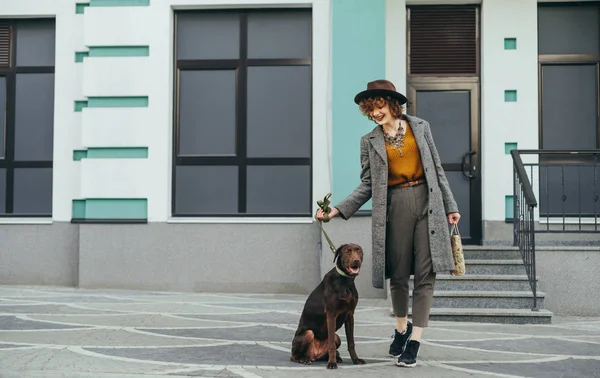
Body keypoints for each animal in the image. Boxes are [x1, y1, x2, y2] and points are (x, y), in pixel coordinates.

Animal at [290, 242, 366, 370]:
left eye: (359, 251)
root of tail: (314, 355)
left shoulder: (350, 315)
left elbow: (351, 342)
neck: (345, 281)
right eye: (347, 251)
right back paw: (304, 359)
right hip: (308, 333)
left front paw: (356, 359)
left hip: (337, 337)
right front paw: (332, 363)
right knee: (293, 356)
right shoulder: (331, 314)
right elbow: (331, 345)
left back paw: (335, 358)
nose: (356, 260)